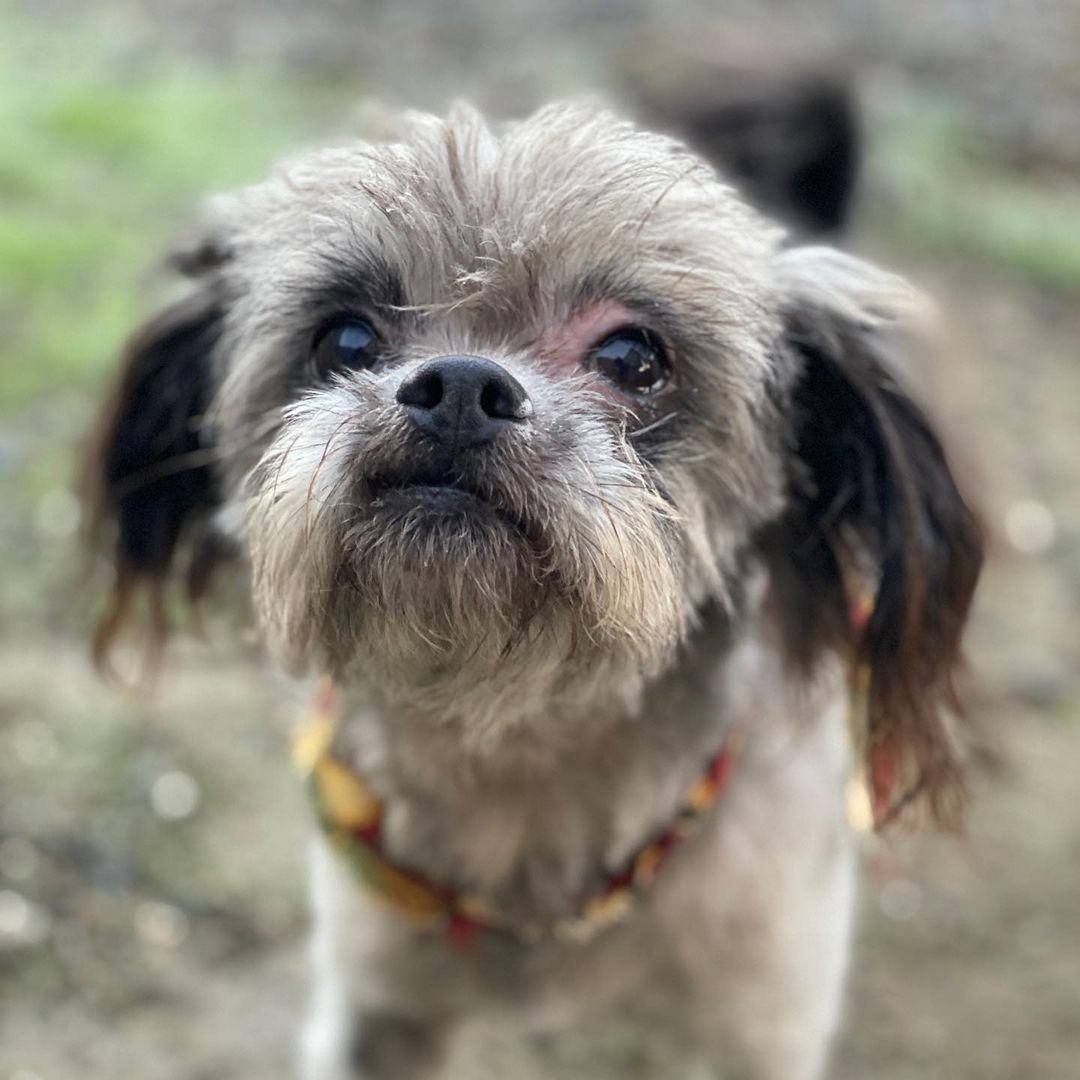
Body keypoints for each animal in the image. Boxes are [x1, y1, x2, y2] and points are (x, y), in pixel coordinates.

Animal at [86, 101, 989, 1080]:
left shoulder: (757, 1026)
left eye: (634, 358)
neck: (518, 767)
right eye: (345, 339)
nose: (459, 385)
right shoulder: (376, 1009)